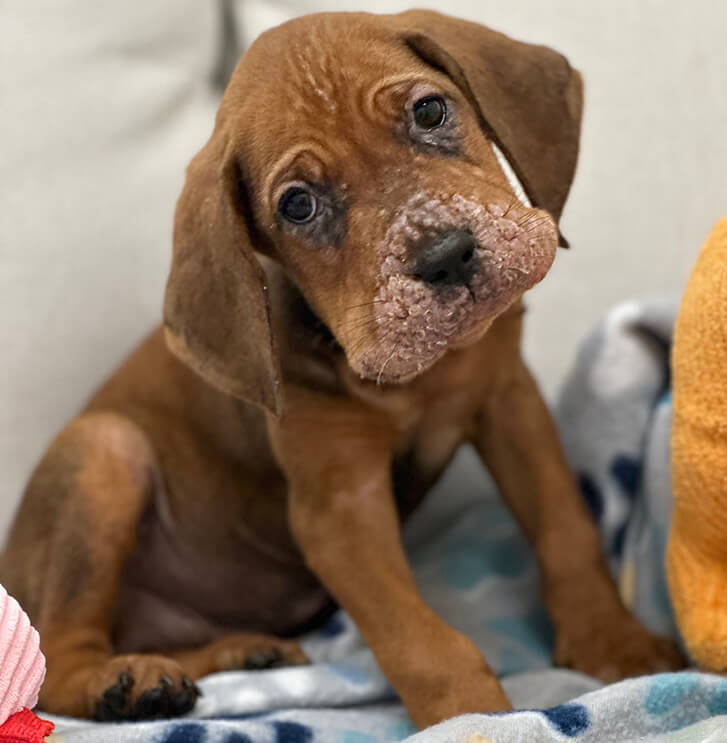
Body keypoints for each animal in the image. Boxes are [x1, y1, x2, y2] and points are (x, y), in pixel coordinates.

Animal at [1, 10, 684, 728]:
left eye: (430, 110)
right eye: (298, 205)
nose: (446, 256)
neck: (424, 372)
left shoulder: (510, 404)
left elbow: (567, 530)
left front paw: (612, 640)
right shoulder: (339, 506)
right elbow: (418, 637)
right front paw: (474, 718)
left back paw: (236, 655)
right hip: (104, 447)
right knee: (58, 660)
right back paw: (126, 681)